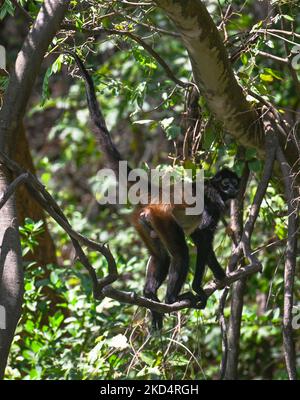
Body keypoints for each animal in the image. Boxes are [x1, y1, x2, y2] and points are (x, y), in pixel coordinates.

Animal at [66, 51, 241, 330]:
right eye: (226, 184)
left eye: (234, 182)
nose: (234, 187)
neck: (212, 185)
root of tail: (158, 197)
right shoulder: (214, 201)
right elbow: (202, 236)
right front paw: (201, 286)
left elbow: (199, 239)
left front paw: (222, 276)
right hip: (163, 219)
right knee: (180, 255)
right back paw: (172, 298)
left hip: (144, 222)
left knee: (162, 257)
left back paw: (150, 296)